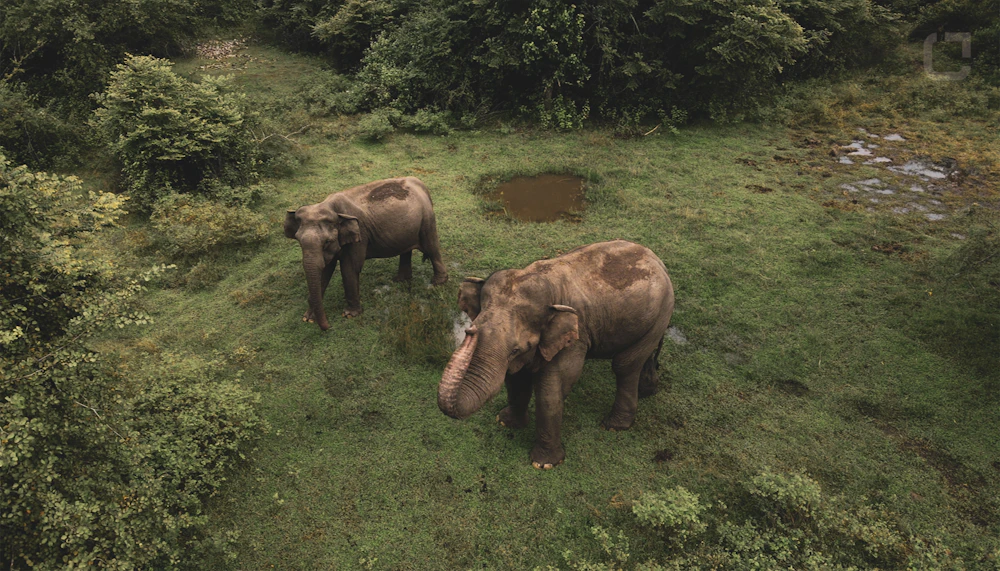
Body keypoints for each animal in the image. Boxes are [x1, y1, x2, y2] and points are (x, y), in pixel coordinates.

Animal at [284, 177, 448, 330]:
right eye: (299, 241)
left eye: (327, 241)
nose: (328, 327)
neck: (330, 207)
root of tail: (420, 183)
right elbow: (325, 270)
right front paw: (307, 318)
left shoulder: (360, 234)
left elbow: (350, 267)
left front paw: (349, 315)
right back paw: (401, 280)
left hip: (427, 220)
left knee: (432, 247)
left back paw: (437, 283)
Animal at [438, 240, 674, 469]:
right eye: (471, 327)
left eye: (516, 349)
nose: (470, 332)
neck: (543, 279)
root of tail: (658, 261)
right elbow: (516, 379)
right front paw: (505, 422)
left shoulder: (575, 338)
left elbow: (552, 389)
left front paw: (544, 464)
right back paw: (647, 391)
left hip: (662, 311)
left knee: (625, 365)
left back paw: (613, 426)